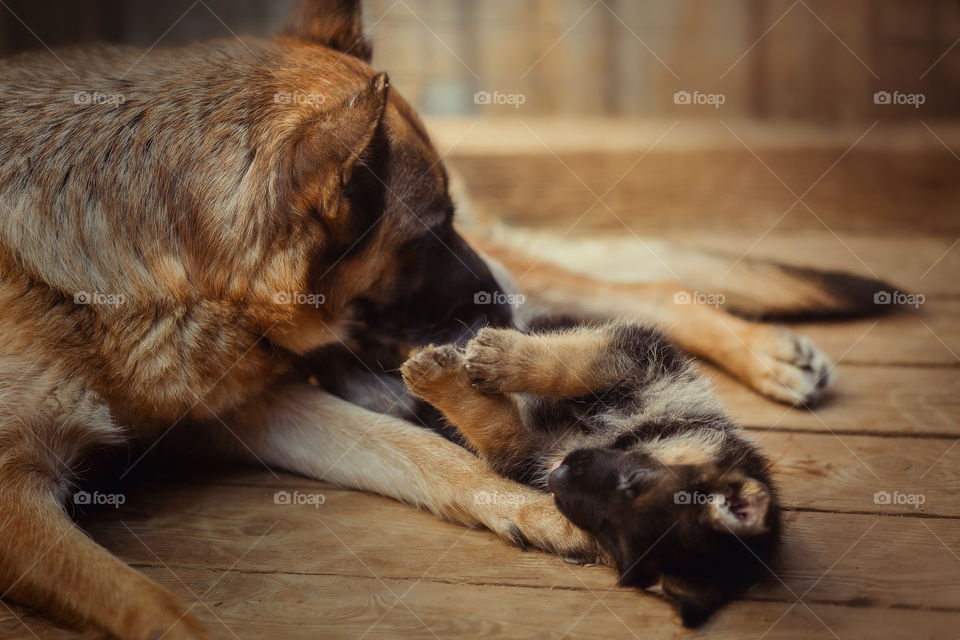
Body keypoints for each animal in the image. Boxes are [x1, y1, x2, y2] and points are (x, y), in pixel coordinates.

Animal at [0, 1, 892, 636]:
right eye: (430, 231)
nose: (503, 303)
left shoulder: (249, 399)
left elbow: (436, 456)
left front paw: (537, 506)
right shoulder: (46, 486)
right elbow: (151, 604)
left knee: (639, 296)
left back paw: (762, 351)